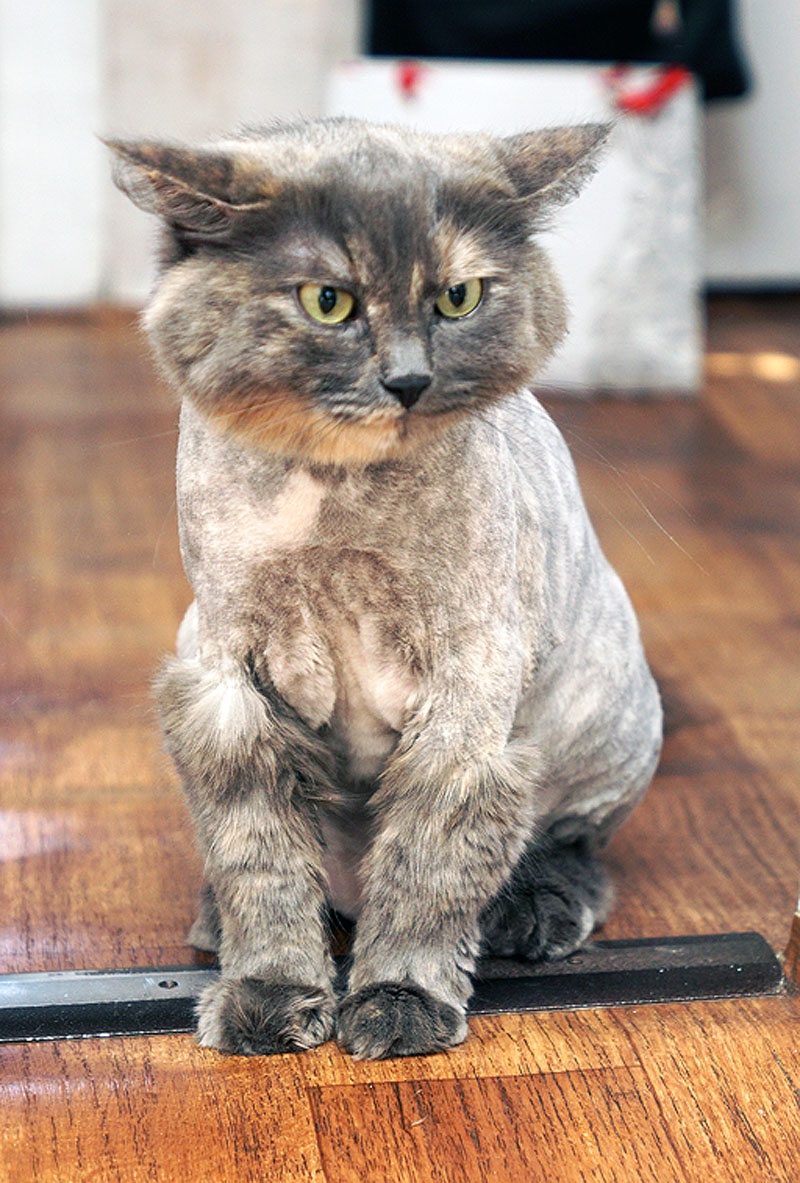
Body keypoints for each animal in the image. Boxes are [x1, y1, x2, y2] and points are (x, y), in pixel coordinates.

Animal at [108, 117, 662, 1060]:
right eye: (329, 301)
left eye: (459, 298)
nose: (408, 380)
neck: (336, 503)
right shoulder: (224, 680)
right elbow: (260, 860)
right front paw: (270, 993)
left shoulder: (469, 697)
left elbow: (427, 869)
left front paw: (399, 999)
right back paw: (218, 921)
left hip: (604, 721)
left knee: (572, 843)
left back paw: (537, 911)